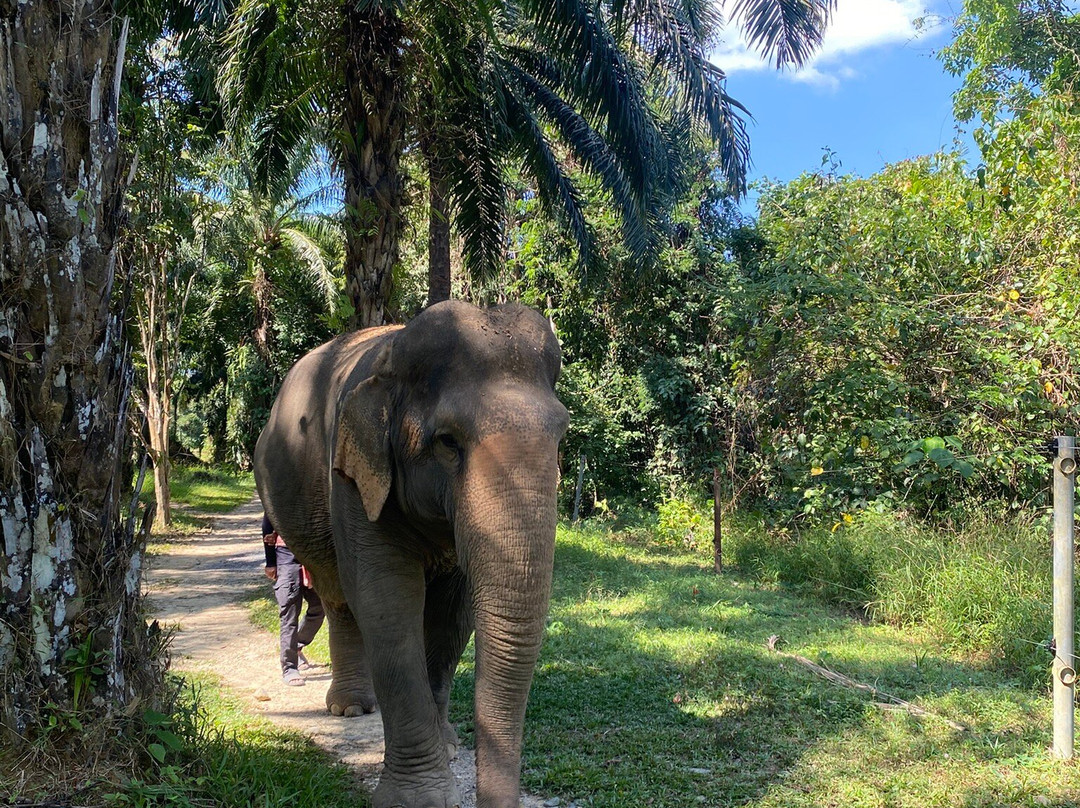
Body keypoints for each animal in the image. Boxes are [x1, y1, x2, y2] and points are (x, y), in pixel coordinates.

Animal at [253, 300, 568, 808]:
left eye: (561, 435)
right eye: (447, 441)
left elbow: (452, 618)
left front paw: (448, 747)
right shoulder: (354, 480)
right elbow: (387, 601)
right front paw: (417, 797)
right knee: (339, 597)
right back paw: (349, 708)